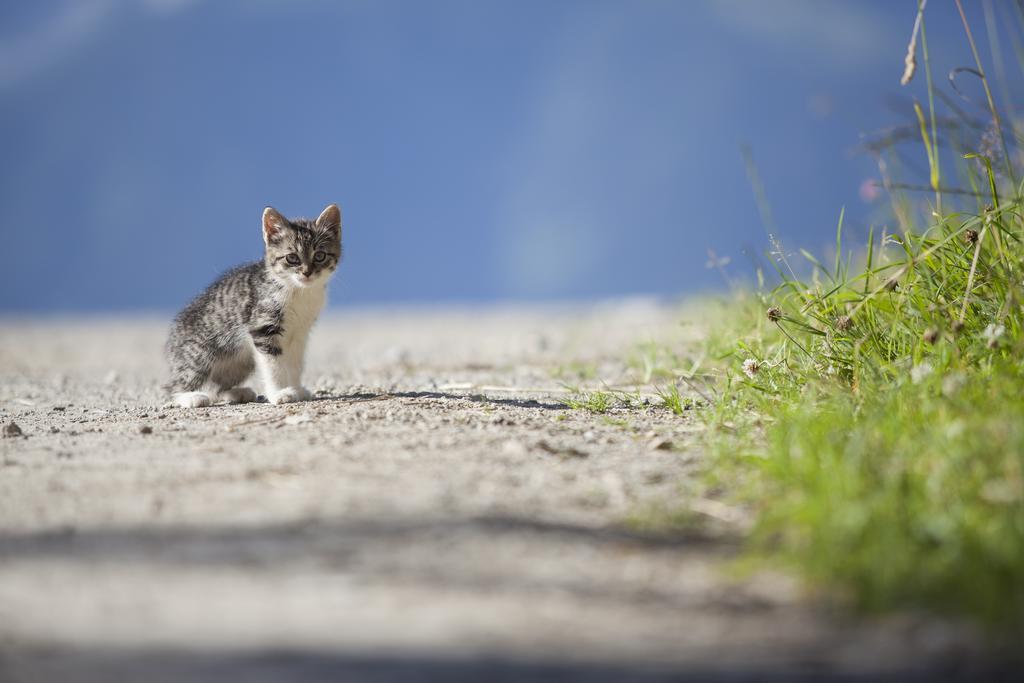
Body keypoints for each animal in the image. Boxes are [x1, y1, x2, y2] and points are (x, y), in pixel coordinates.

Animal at [163, 202, 344, 405]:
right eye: (292, 258)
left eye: (320, 255)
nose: (307, 273)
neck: (299, 291)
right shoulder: (263, 327)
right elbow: (274, 365)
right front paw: (279, 393)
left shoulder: (299, 333)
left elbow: (295, 363)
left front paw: (296, 388)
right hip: (201, 354)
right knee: (174, 387)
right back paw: (191, 397)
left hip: (241, 362)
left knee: (215, 387)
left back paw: (236, 393)